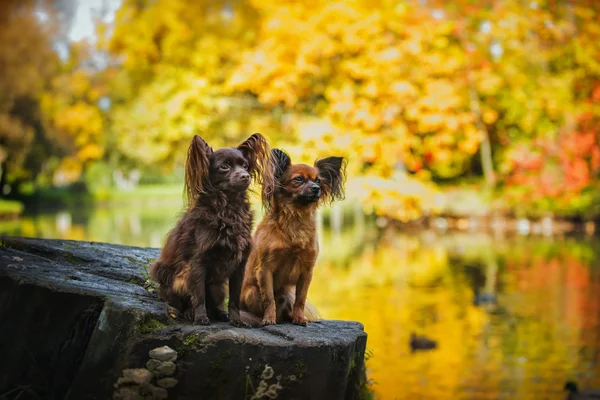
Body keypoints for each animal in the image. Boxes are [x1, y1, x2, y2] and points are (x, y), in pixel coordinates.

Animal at [151, 133, 274, 326]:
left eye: (245, 166)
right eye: (224, 166)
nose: (245, 176)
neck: (229, 207)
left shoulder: (240, 266)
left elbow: (234, 299)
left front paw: (236, 320)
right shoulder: (198, 262)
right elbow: (199, 295)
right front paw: (201, 317)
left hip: (218, 286)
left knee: (214, 302)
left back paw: (218, 313)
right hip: (179, 278)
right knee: (182, 301)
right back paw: (189, 313)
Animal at [240, 148, 346, 326]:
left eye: (318, 181)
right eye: (298, 179)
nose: (316, 188)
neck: (296, 217)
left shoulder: (307, 271)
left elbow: (300, 299)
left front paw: (299, 318)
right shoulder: (265, 269)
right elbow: (269, 298)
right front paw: (269, 319)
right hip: (251, 291)